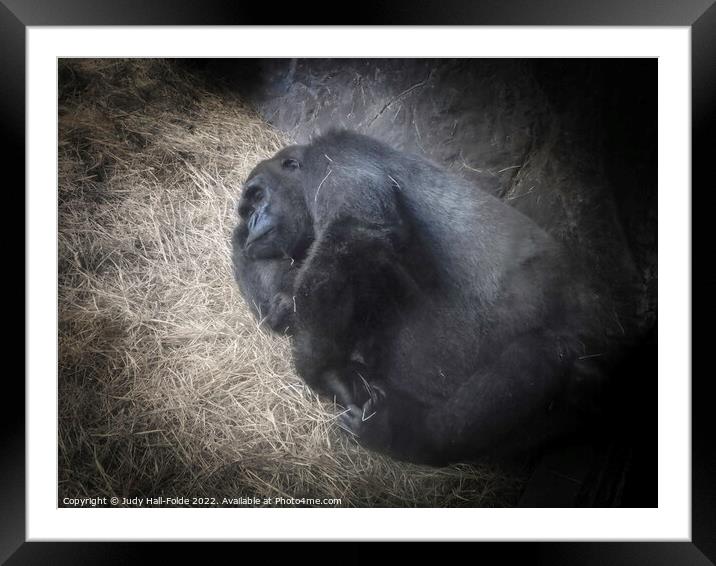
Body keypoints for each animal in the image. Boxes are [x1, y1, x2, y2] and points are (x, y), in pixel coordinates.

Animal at [232, 132, 612, 466]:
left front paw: (326, 372)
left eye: (257, 196)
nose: (253, 221)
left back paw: (410, 437)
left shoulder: (336, 154)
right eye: (247, 210)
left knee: (542, 352)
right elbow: (281, 297)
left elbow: (357, 234)